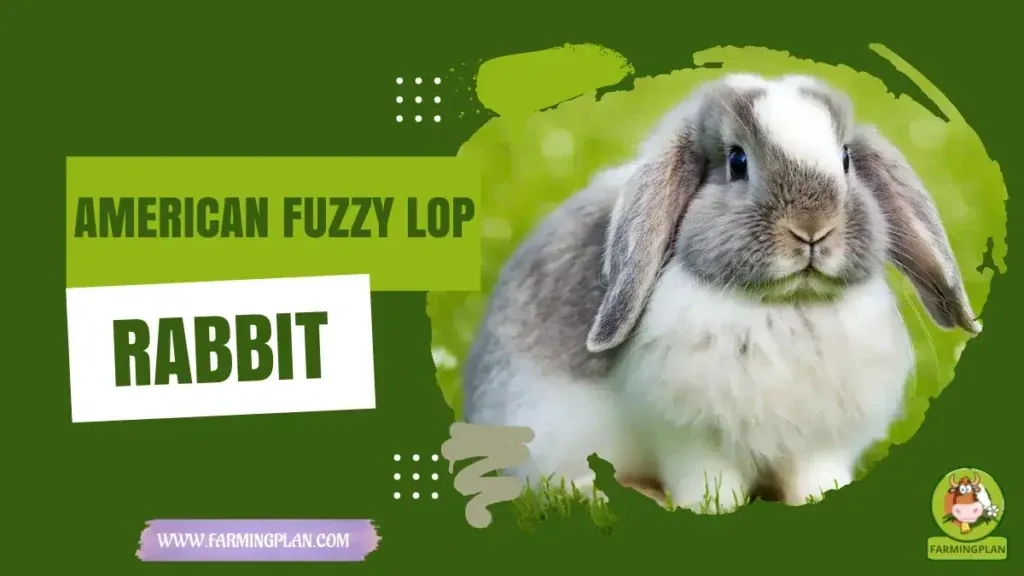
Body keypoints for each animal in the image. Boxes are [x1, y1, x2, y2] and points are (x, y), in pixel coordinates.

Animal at [461, 72, 980, 512]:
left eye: (847, 159)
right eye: (737, 161)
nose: (812, 229)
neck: (787, 306)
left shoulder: (819, 443)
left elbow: (815, 477)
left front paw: (820, 498)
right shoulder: (691, 438)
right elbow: (709, 481)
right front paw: (712, 508)